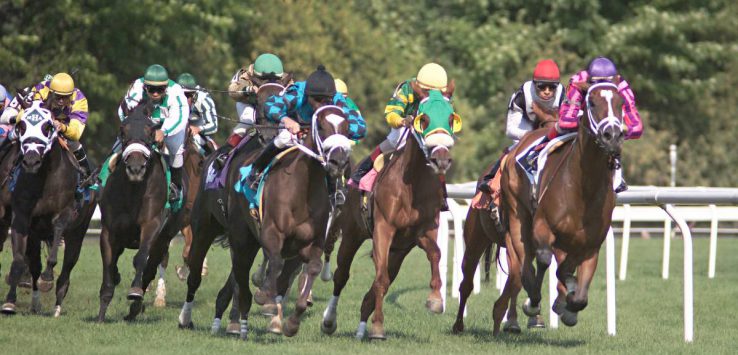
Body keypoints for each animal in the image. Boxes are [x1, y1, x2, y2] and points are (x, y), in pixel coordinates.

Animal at [0, 101, 79, 316]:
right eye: (21, 125)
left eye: (48, 126)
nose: (31, 161)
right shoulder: (21, 215)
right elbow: (19, 259)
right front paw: (9, 302)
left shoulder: (65, 211)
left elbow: (57, 233)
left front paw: (48, 277)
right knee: (33, 263)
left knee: (68, 265)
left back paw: (57, 305)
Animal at [494, 80, 628, 330]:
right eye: (591, 102)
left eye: (621, 103)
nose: (612, 136)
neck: (584, 189)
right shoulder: (543, 226)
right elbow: (545, 260)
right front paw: (534, 302)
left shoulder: (589, 245)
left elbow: (578, 293)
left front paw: (568, 304)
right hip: (518, 214)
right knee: (524, 261)